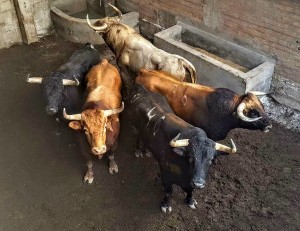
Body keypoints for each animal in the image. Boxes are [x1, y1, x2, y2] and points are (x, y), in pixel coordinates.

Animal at [125, 84, 236, 213]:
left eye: (211, 160)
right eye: (190, 158)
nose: (198, 183)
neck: (184, 173)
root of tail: (142, 89)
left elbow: (191, 191)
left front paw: (190, 201)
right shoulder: (166, 175)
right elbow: (168, 192)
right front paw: (166, 205)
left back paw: (146, 151)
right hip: (135, 126)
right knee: (137, 137)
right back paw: (138, 151)